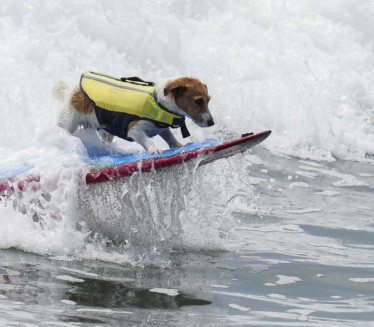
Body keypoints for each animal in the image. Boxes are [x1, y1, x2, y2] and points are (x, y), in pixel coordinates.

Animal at [51, 72, 215, 154]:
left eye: (208, 100)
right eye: (198, 101)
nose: (212, 123)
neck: (158, 102)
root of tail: (72, 92)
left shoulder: (162, 128)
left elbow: (169, 137)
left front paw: (178, 145)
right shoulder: (134, 130)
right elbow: (148, 140)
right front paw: (154, 149)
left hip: (105, 132)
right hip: (67, 123)